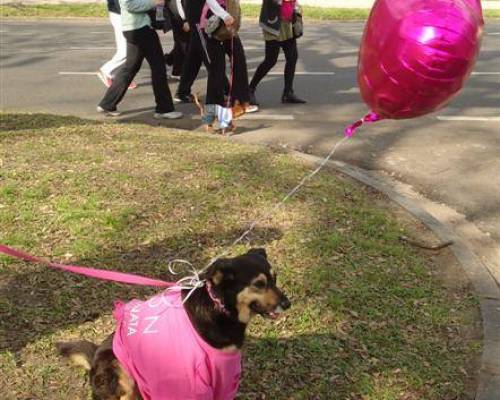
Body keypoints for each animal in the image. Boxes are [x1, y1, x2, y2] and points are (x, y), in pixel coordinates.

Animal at [55, 248, 290, 398]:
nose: (288, 303)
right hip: (119, 370)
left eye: (275, 278)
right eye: (259, 284)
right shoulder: (193, 382)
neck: (219, 307)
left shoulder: (224, 376)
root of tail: (93, 359)